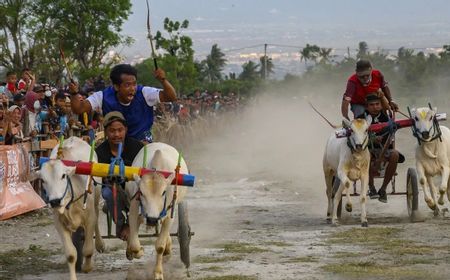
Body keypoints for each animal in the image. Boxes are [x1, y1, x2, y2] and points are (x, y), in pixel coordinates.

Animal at [38, 137, 104, 280]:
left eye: (63, 176)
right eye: (43, 180)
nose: (55, 201)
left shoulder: (89, 219)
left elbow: (88, 249)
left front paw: (87, 267)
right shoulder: (59, 224)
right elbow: (71, 255)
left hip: (96, 199)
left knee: (97, 217)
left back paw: (100, 244)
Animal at [125, 143, 188, 278]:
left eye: (163, 192)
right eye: (141, 192)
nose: (152, 219)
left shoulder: (169, 215)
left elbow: (160, 246)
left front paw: (158, 273)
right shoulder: (134, 210)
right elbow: (134, 245)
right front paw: (139, 251)